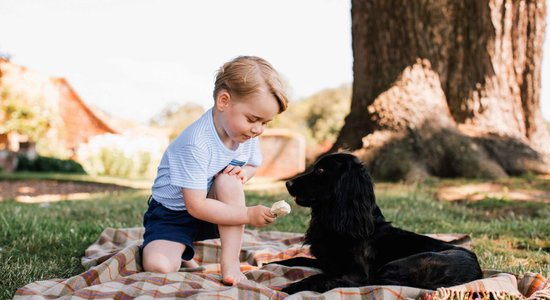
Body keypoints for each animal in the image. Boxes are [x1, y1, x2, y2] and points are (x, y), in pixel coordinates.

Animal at [274, 154, 486, 294]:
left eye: (320, 170)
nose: (288, 183)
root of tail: (477, 273)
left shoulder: (357, 273)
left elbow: (321, 277)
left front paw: (293, 286)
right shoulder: (327, 262)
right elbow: (295, 259)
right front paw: (271, 263)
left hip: (395, 266)